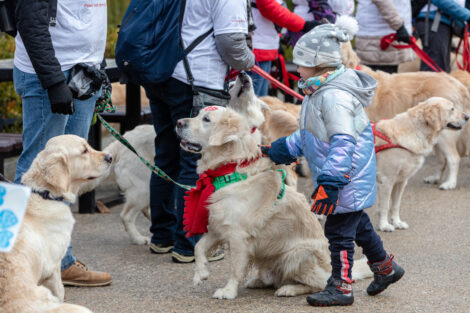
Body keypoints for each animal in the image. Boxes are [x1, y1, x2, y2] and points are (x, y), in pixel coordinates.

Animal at [0, 134, 112, 312]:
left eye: (88, 145)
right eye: (84, 151)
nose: (110, 157)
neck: (46, 194)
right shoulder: (53, 265)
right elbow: (60, 289)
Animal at [176, 106, 370, 298]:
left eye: (206, 119)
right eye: (198, 114)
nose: (178, 122)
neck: (230, 170)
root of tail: (329, 269)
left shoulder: (238, 235)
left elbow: (235, 268)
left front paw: (228, 291)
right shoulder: (219, 226)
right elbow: (199, 247)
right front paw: (201, 273)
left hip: (297, 254)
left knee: (318, 284)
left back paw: (289, 289)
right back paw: (259, 281)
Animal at [342, 42, 470, 189]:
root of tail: (458, 83)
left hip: (444, 135)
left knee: (453, 158)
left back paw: (450, 183)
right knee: (442, 160)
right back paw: (435, 178)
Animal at [372, 97, 468, 232]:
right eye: (452, 109)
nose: (467, 117)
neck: (416, 130)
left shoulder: (401, 181)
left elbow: (395, 205)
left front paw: (397, 222)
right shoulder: (386, 180)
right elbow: (385, 206)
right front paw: (384, 225)